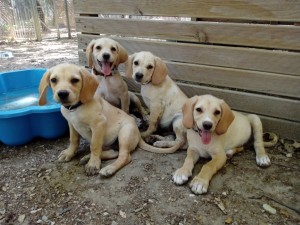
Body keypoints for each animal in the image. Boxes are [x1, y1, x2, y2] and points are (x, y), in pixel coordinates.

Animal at [38, 62, 177, 176]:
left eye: (75, 80)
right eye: (54, 80)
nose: (62, 94)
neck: (75, 108)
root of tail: (138, 134)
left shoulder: (98, 125)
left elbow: (94, 145)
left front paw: (93, 164)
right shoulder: (71, 124)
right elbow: (73, 140)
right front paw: (69, 153)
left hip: (124, 134)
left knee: (124, 157)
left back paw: (108, 168)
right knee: (112, 153)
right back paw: (87, 158)